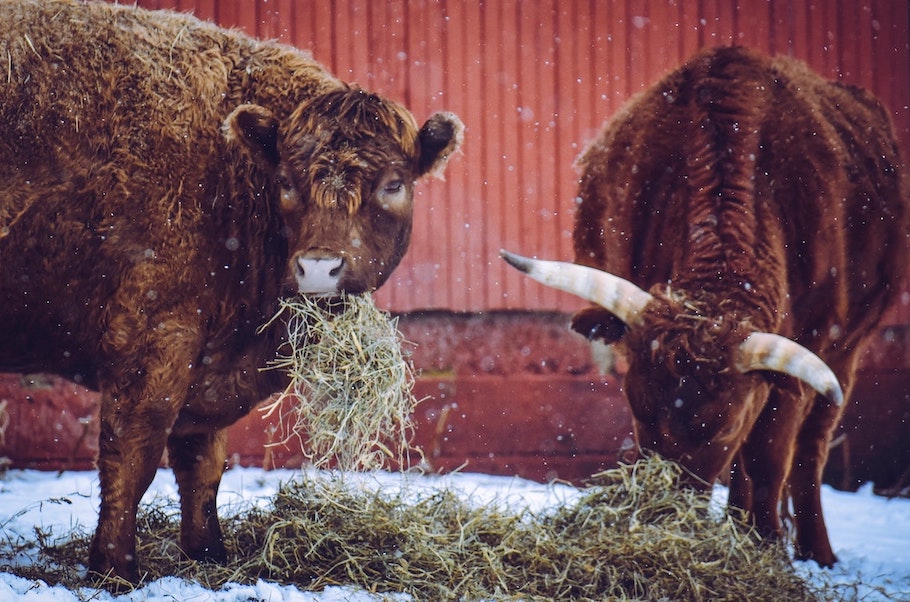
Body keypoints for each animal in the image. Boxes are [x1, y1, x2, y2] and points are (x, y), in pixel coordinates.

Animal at [0, 0, 464, 580]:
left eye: (393, 184)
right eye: (285, 181)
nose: (318, 268)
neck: (227, 175)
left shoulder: (204, 364)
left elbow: (202, 464)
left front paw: (208, 554)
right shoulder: (152, 341)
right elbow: (133, 455)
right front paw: (115, 569)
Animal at [502, 44, 908, 564]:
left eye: (722, 429)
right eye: (639, 411)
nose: (663, 515)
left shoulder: (805, 353)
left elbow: (770, 455)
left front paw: (769, 546)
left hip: (847, 353)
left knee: (809, 448)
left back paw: (816, 551)